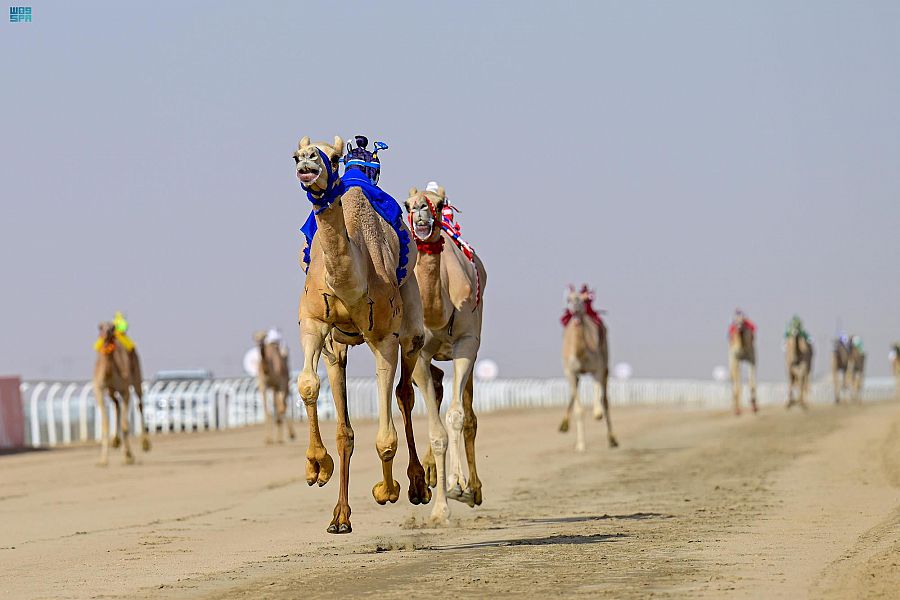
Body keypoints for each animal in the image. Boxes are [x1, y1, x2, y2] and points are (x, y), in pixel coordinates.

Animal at [92, 324, 149, 464]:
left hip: (136, 376)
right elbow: (105, 424)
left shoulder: (125, 390)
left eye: (112, 327)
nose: (107, 333)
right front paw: (103, 460)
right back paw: (116, 441)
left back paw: (145, 445)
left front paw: (128, 456)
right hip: (111, 391)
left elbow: (125, 425)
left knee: (140, 404)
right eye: (100, 327)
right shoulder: (99, 389)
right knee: (116, 404)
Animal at [292, 137, 426, 536]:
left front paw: (386, 490)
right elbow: (308, 385)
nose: (307, 163)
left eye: (333, 158)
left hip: (410, 323)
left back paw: (417, 485)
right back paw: (339, 516)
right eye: (296, 154)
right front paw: (316, 467)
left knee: (405, 393)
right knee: (345, 429)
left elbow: (386, 437)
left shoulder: (384, 338)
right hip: (338, 347)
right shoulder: (313, 322)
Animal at [560, 284, 616, 450]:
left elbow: (599, 400)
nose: (574, 310)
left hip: (605, 361)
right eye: (568, 299)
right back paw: (564, 425)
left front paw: (597, 413)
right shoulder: (570, 371)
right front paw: (580, 445)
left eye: (584, 300)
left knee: (606, 400)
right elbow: (579, 410)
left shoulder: (597, 368)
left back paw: (612, 439)